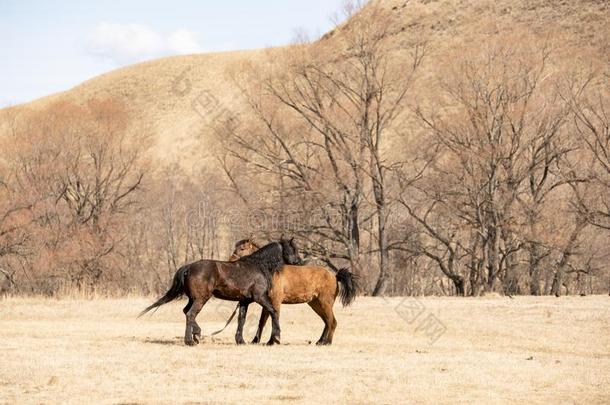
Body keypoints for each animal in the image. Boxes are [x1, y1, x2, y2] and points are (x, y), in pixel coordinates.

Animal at [138, 238, 300, 346]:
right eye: (292, 249)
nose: (299, 261)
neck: (259, 266)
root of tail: (189, 267)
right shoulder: (260, 297)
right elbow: (273, 312)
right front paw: (276, 338)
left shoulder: (244, 301)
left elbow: (241, 319)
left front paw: (240, 341)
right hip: (201, 298)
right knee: (190, 314)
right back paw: (191, 340)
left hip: (193, 298)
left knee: (186, 312)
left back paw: (195, 336)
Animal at [226, 237, 356, 344]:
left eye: (242, 248)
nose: (230, 260)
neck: (271, 270)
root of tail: (334, 276)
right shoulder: (267, 302)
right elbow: (262, 321)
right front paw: (256, 341)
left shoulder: (275, 301)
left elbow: (274, 317)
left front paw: (272, 341)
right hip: (316, 304)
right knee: (327, 322)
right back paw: (320, 341)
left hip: (324, 303)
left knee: (332, 322)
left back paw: (327, 342)